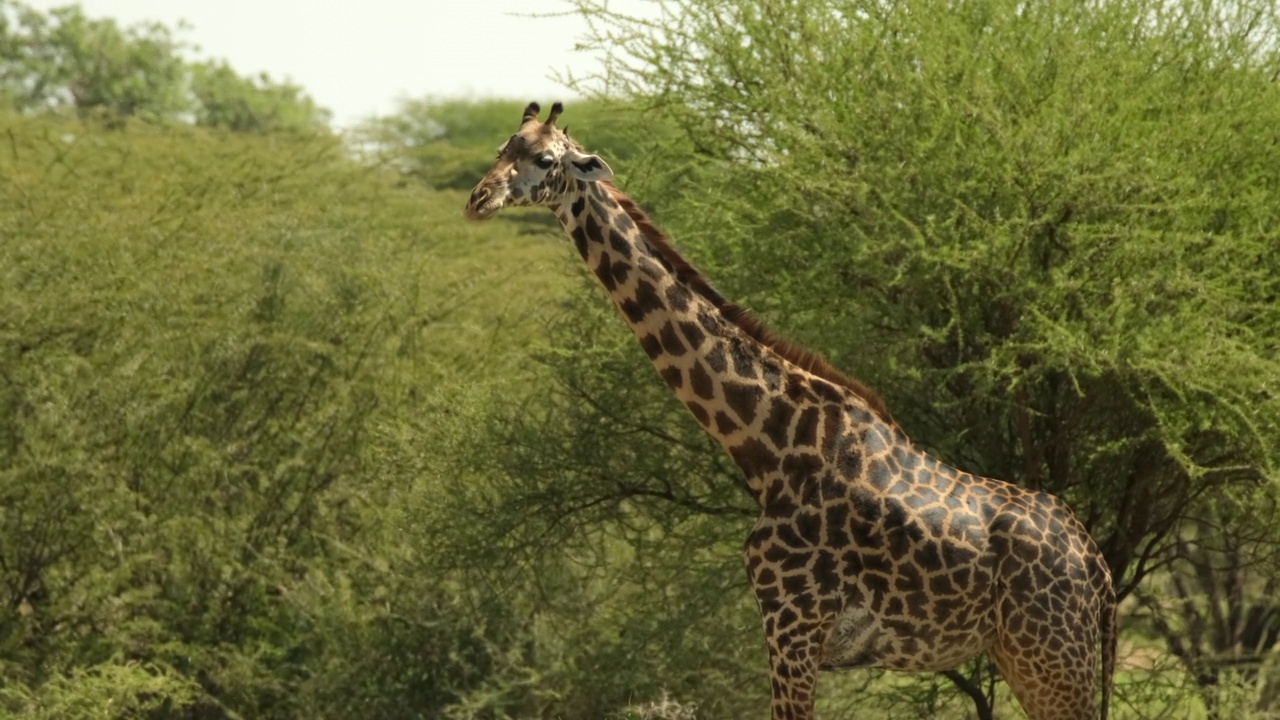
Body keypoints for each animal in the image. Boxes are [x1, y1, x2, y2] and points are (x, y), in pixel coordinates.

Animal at [465, 102, 1116, 717]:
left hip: (1051, 658)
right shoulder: (791, 631)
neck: (767, 443)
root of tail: (1100, 573)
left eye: (547, 160)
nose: (478, 199)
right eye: (502, 149)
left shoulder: (793, 624)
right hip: (1029, 656)